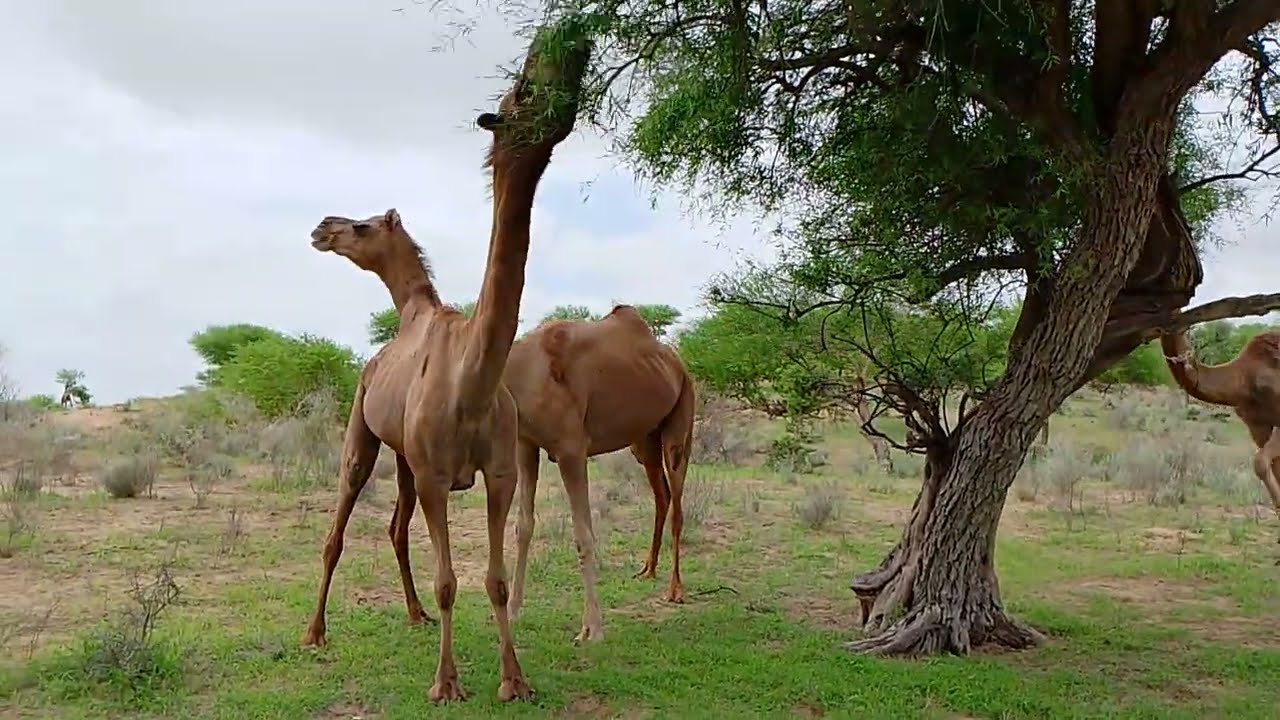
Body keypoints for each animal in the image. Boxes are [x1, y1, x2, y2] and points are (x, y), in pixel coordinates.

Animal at [299, 31, 587, 702]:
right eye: (521, 90)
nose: (324, 227)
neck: (471, 384)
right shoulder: (435, 475)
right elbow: (450, 580)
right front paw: (446, 684)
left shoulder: (499, 472)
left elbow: (494, 581)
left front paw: (514, 680)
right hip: (363, 435)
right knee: (337, 531)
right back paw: (314, 633)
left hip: (403, 458)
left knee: (394, 529)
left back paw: (412, 614)